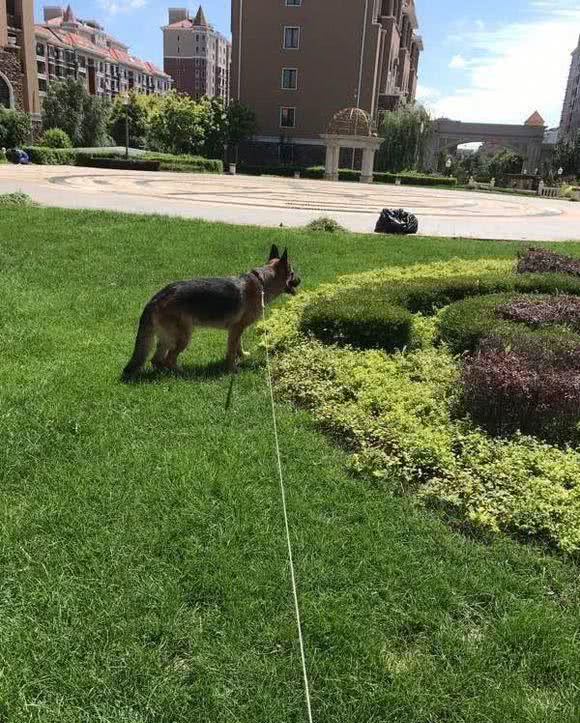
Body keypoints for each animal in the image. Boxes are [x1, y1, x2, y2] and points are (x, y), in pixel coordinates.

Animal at [121, 246, 300, 378]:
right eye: (292, 273)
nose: (300, 280)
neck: (262, 282)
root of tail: (156, 297)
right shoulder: (236, 328)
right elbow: (231, 351)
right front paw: (232, 369)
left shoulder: (236, 330)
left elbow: (238, 345)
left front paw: (242, 355)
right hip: (183, 337)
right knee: (169, 359)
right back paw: (181, 373)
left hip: (167, 338)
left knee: (157, 360)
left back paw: (164, 374)